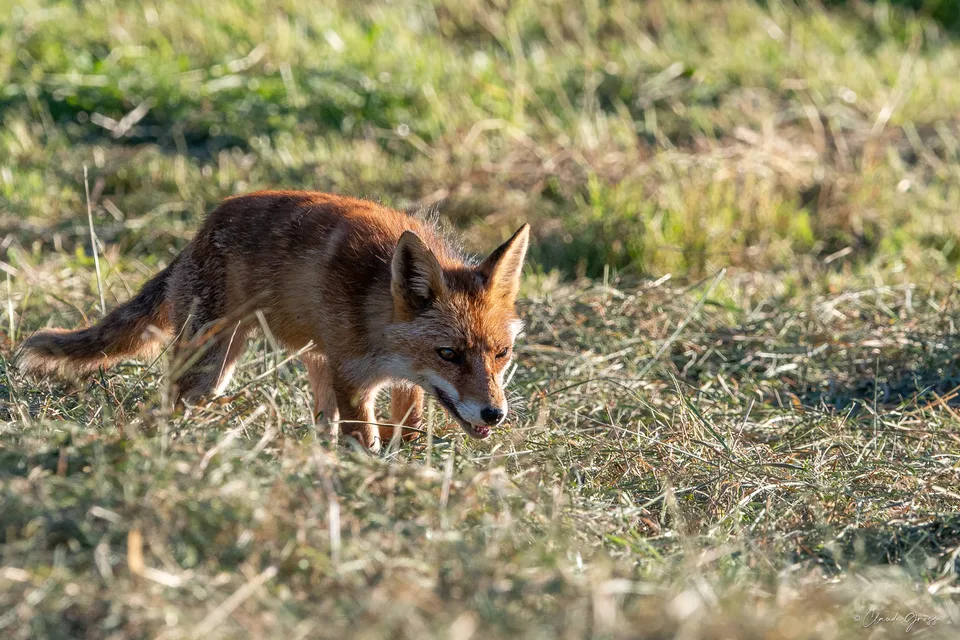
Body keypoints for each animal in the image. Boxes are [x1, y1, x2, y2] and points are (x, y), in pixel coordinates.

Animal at [18, 190, 530, 453]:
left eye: (502, 354)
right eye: (449, 354)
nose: (495, 414)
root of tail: (194, 237)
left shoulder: (402, 384)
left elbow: (408, 431)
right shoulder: (352, 375)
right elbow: (363, 438)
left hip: (308, 361)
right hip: (210, 364)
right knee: (174, 404)